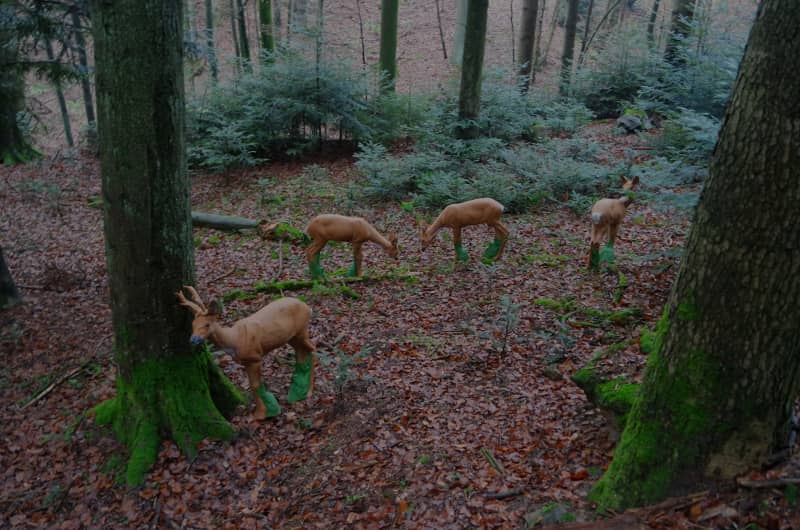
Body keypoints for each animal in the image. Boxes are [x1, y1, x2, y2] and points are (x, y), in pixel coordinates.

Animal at [177, 286, 314, 418]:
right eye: (193, 324)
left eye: (207, 324)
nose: (193, 339)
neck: (234, 339)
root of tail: (306, 306)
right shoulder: (246, 361)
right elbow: (252, 384)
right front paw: (266, 409)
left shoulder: (255, 357)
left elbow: (255, 385)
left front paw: (263, 413)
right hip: (292, 337)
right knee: (301, 351)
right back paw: (297, 391)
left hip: (302, 329)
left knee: (312, 348)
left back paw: (308, 391)